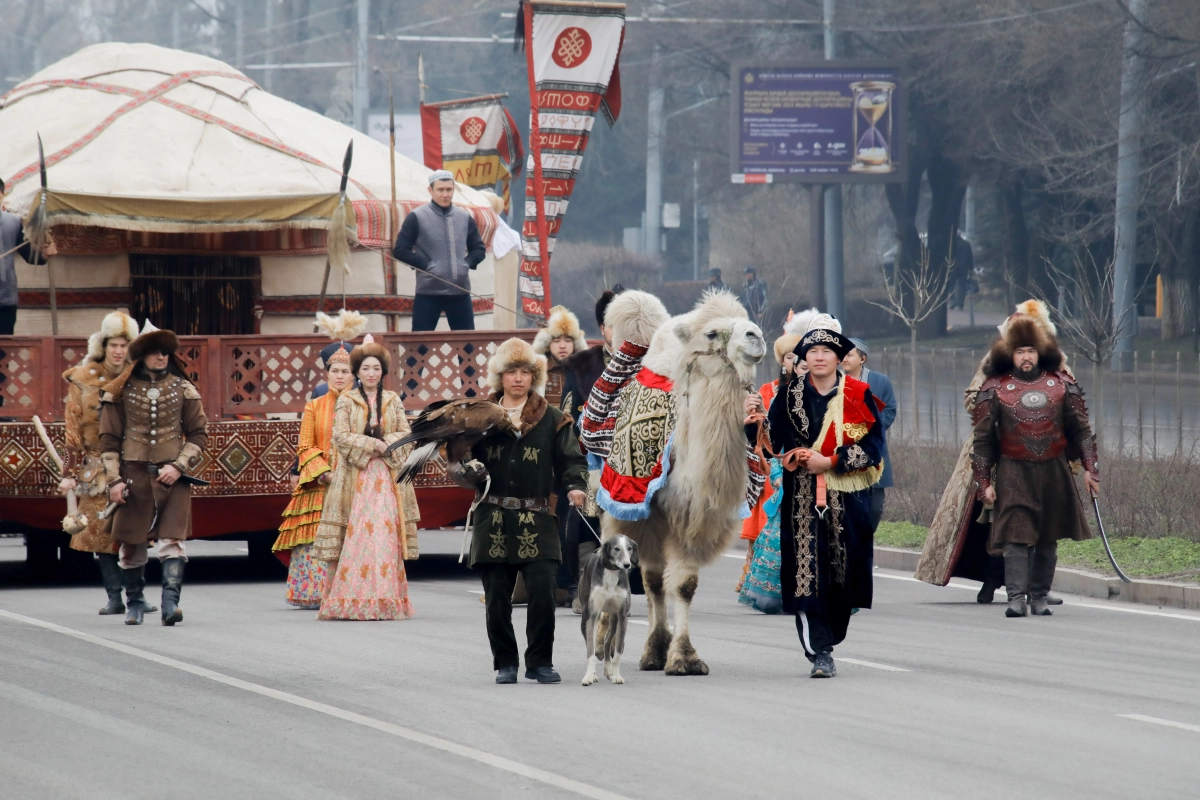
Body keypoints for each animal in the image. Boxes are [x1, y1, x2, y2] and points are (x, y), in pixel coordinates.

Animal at [578, 534, 638, 686]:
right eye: (616, 548)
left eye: (629, 548)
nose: (627, 565)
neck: (612, 571)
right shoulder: (593, 615)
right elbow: (591, 652)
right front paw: (588, 677)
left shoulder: (622, 616)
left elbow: (617, 653)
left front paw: (616, 676)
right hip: (586, 616)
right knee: (590, 643)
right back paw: (594, 674)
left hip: (614, 619)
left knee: (606, 641)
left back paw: (608, 670)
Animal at [600, 291, 768, 671]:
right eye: (712, 333)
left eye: (747, 322)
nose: (756, 336)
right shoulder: (653, 514)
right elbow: (654, 580)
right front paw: (665, 653)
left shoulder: (694, 516)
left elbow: (685, 585)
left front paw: (683, 656)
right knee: (649, 579)